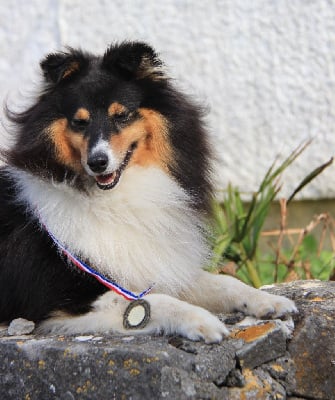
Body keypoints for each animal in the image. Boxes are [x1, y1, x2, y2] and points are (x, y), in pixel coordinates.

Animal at [0, 41, 296, 344]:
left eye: (121, 115)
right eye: (79, 122)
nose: (97, 162)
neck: (118, 196)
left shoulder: (155, 268)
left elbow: (222, 281)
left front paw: (267, 300)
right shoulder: (62, 298)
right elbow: (152, 302)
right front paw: (202, 321)